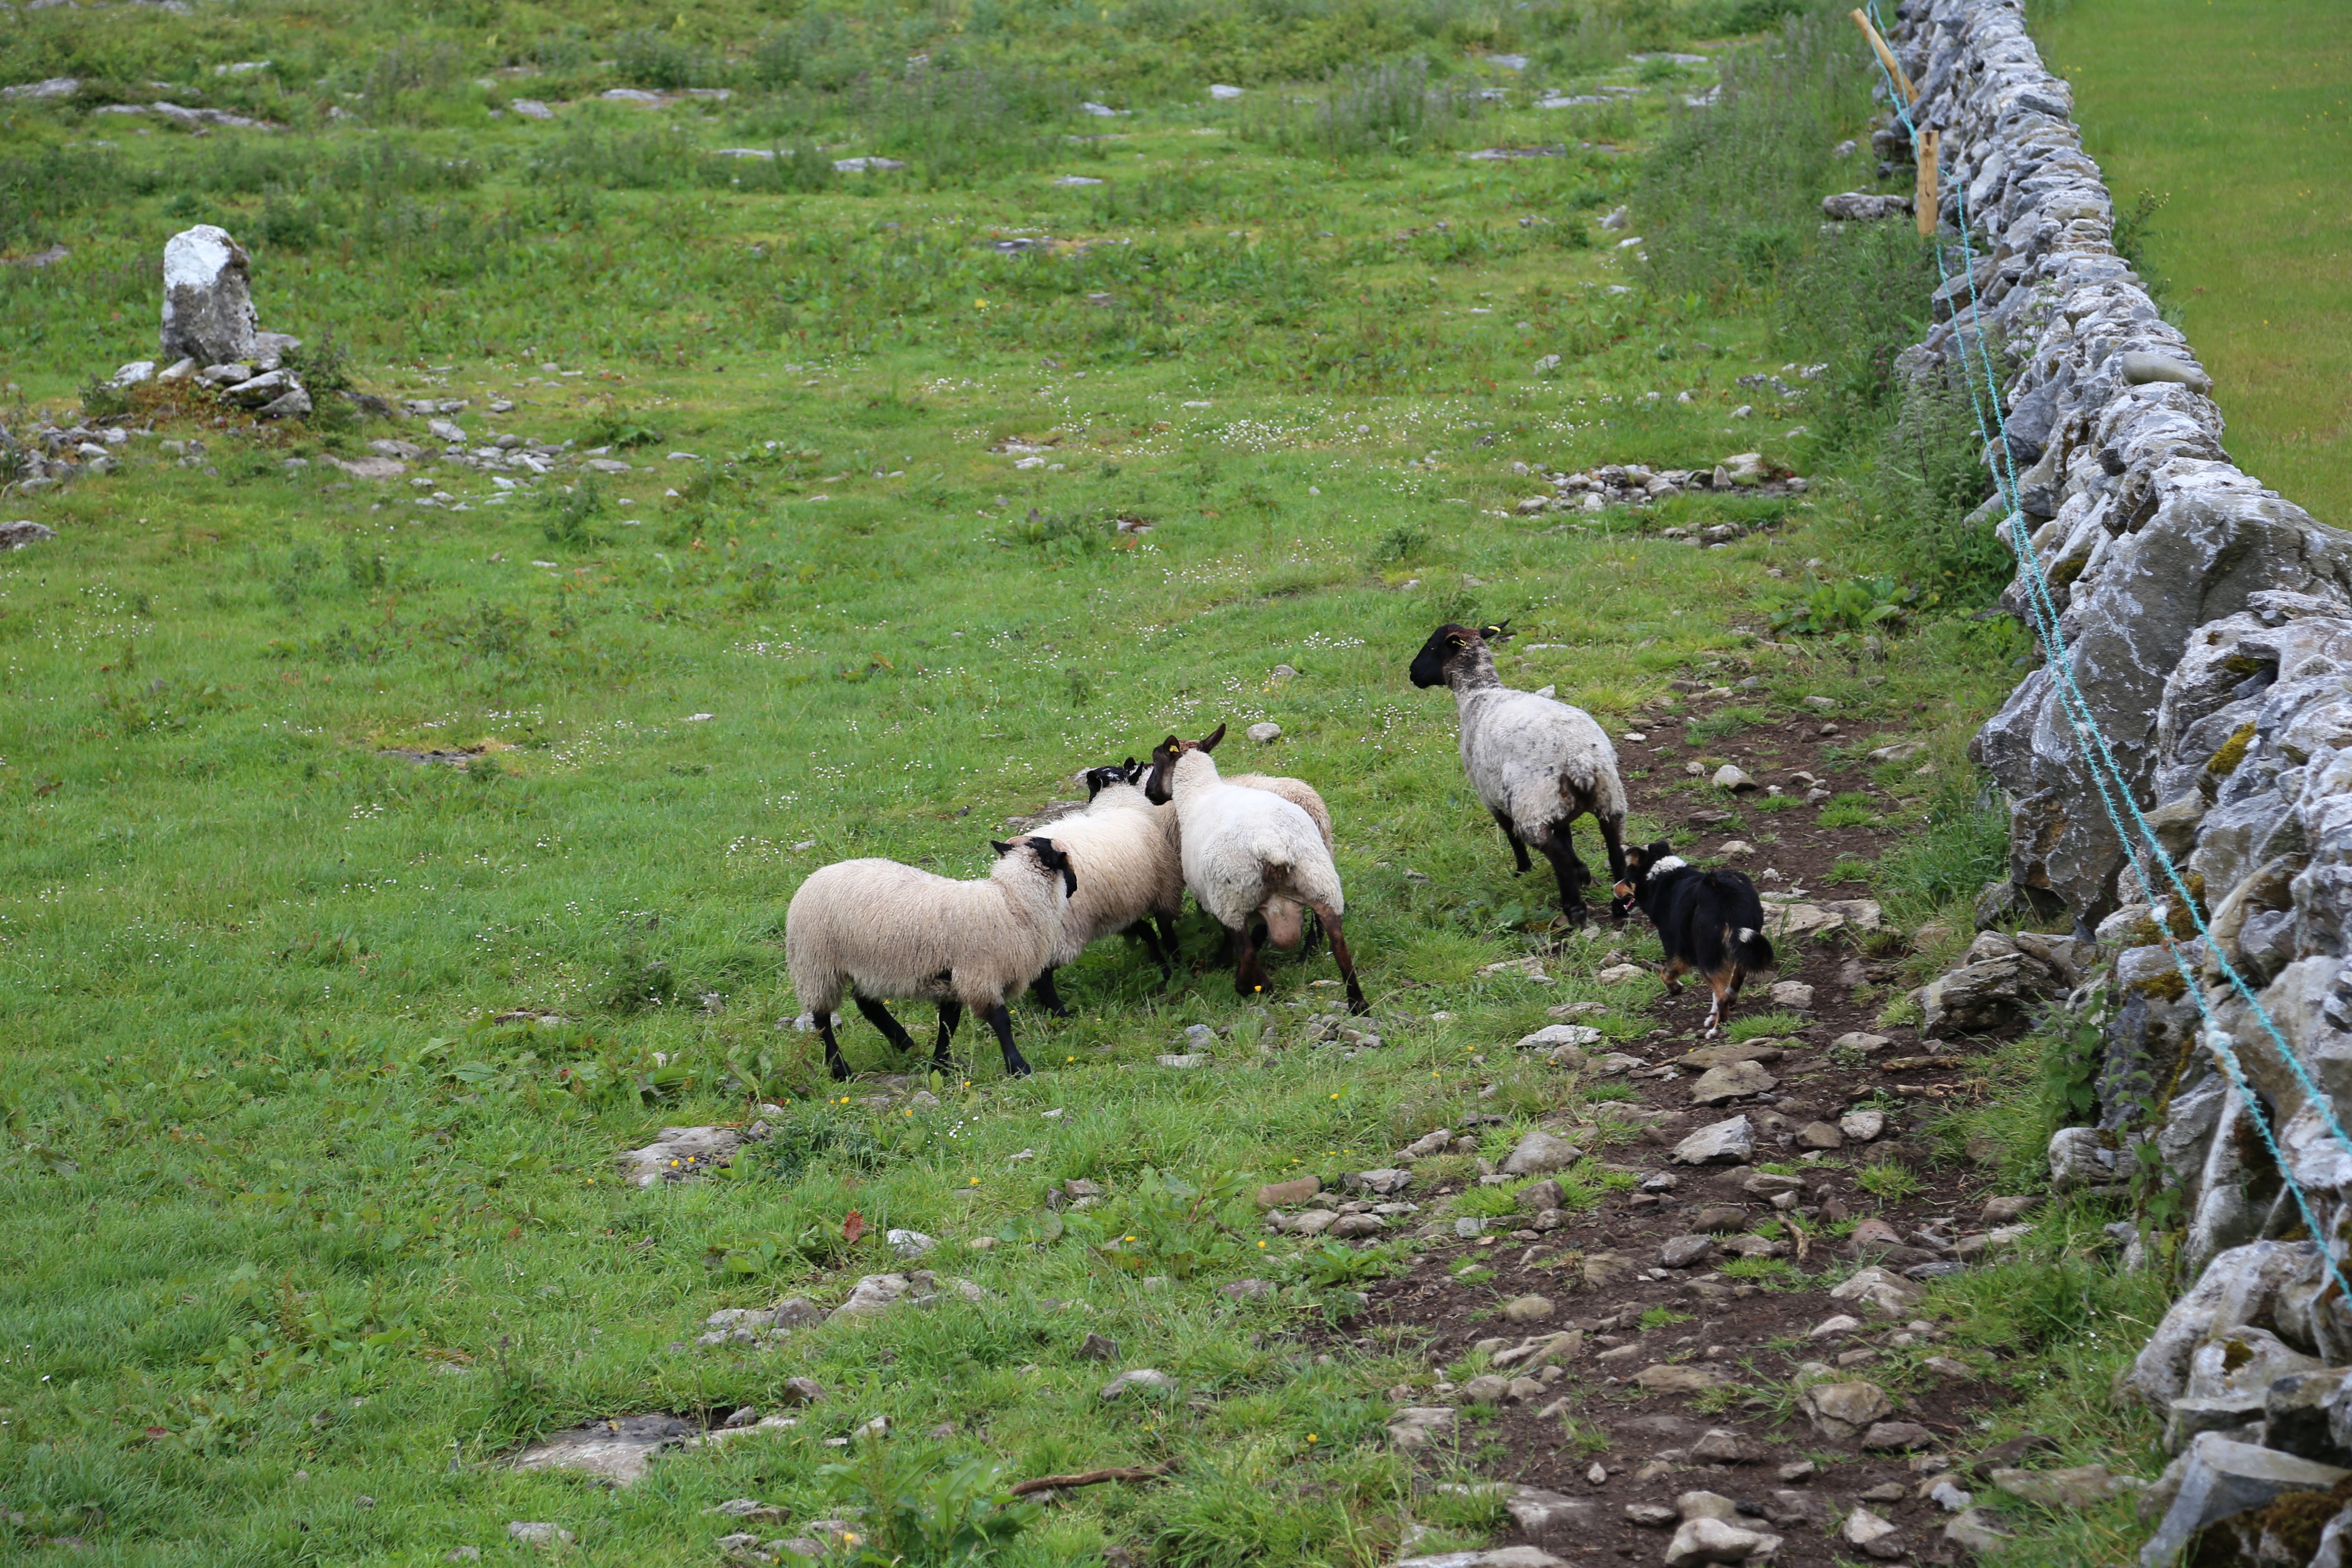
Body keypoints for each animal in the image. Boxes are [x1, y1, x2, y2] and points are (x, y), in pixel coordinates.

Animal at [790, 832, 1082, 1081]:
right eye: (1064, 859)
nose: (1076, 887)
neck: (1011, 900)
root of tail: (816, 875)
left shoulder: (954, 978)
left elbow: (948, 1023)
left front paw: (941, 1064)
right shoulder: (979, 974)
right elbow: (1001, 1021)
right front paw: (1018, 1066)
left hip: (868, 965)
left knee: (868, 1004)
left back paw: (908, 1046)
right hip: (817, 963)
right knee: (821, 1020)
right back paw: (840, 1069)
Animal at [1030, 762, 1185, 1020]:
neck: (1119, 803)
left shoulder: (1123, 902)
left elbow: (1148, 933)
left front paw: (1161, 965)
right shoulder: (1164, 891)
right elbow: (1166, 934)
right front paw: (1177, 964)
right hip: (1066, 927)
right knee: (1041, 975)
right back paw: (1061, 1014)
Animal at [1167, 747, 1373, 1020]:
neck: (1201, 793)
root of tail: (1272, 844)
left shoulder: (1213, 893)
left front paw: (1223, 963)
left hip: (1233, 897)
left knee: (1246, 948)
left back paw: (1251, 985)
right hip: (1321, 880)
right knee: (1334, 939)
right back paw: (1352, 996)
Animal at [1402, 620, 1627, 926]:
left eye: (1432, 646)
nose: (1413, 673)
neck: (1479, 694)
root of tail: (1580, 760)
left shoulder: (1489, 795)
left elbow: (1512, 835)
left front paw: (1523, 870)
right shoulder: (1558, 809)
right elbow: (1567, 838)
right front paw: (1584, 872)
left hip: (1532, 804)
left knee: (1555, 855)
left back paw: (1575, 909)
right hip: (1609, 801)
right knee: (1616, 855)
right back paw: (1620, 906)